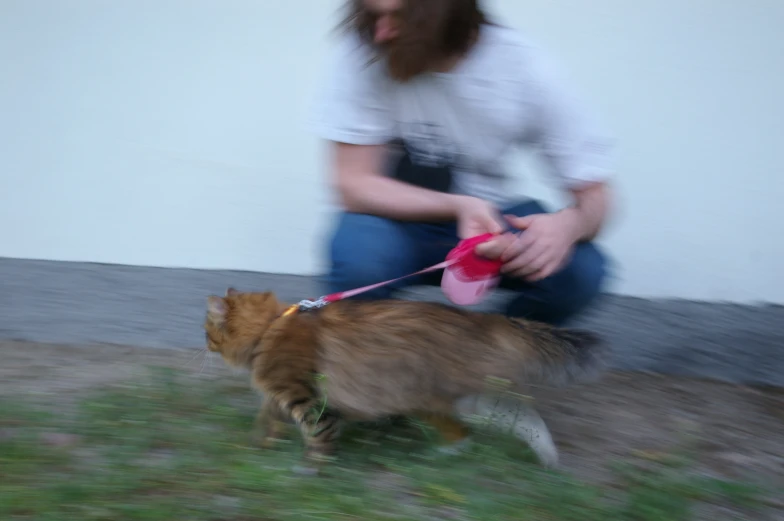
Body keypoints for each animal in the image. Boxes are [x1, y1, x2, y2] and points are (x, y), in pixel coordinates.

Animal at [204, 286, 608, 474]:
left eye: (207, 329)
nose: (203, 341)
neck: (271, 327)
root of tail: (483, 320)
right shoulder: (281, 395)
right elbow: (267, 418)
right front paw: (260, 443)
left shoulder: (307, 399)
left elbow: (318, 438)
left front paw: (310, 468)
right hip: (459, 399)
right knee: (511, 419)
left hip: (446, 397)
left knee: (497, 422)